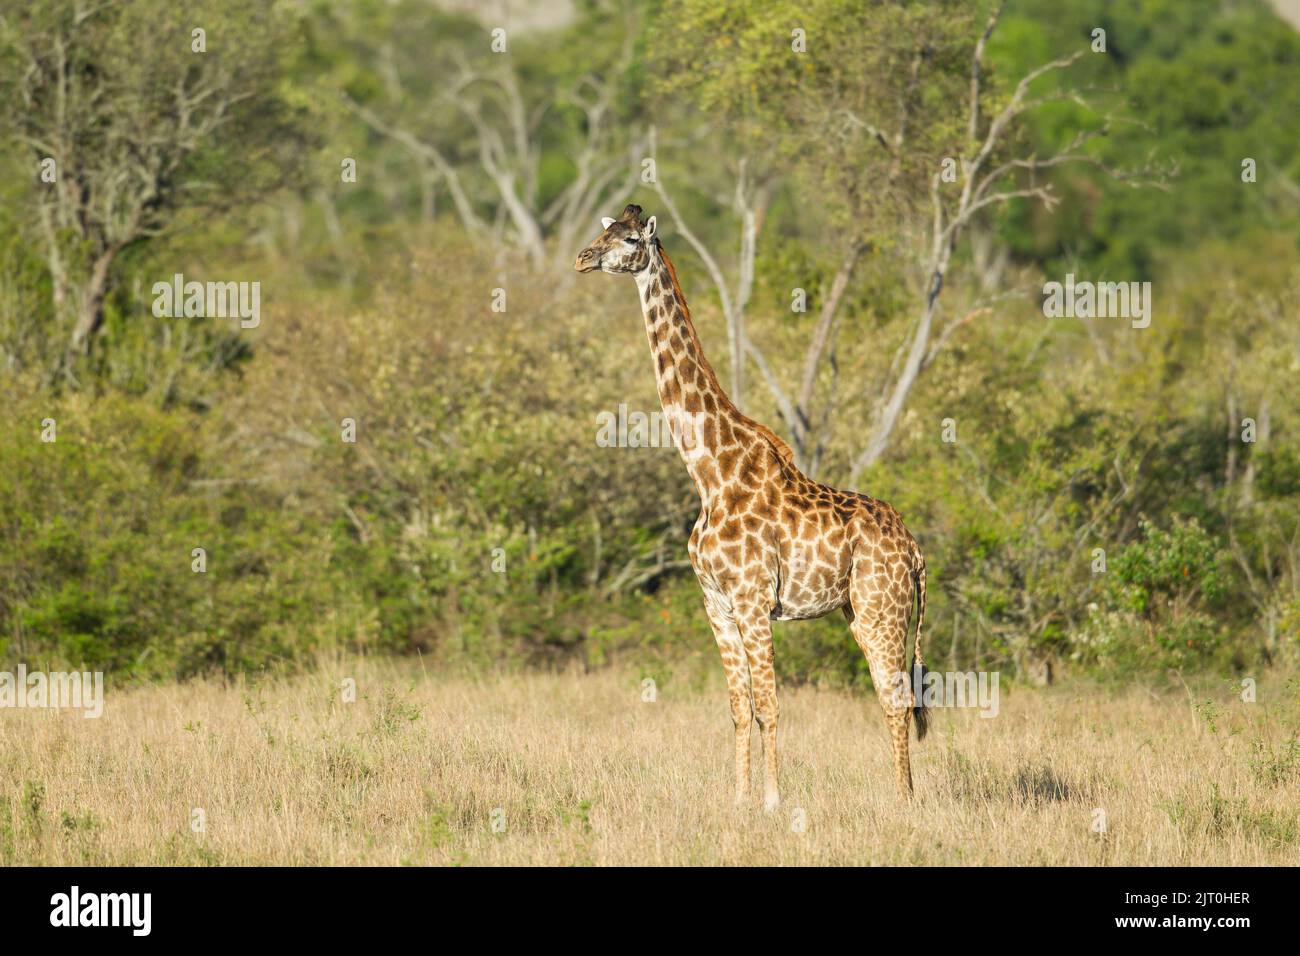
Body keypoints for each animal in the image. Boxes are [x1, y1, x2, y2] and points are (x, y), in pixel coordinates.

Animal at [574, 201, 930, 806]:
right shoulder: (716, 603)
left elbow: (770, 706)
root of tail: (916, 550)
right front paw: (739, 799)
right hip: (859, 612)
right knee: (892, 696)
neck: (710, 473)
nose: (582, 258)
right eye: (605, 230)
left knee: (896, 696)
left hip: (885, 607)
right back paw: (900, 793)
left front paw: (772, 800)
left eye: (628, 240)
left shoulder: (753, 599)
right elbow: (739, 707)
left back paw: (905, 799)